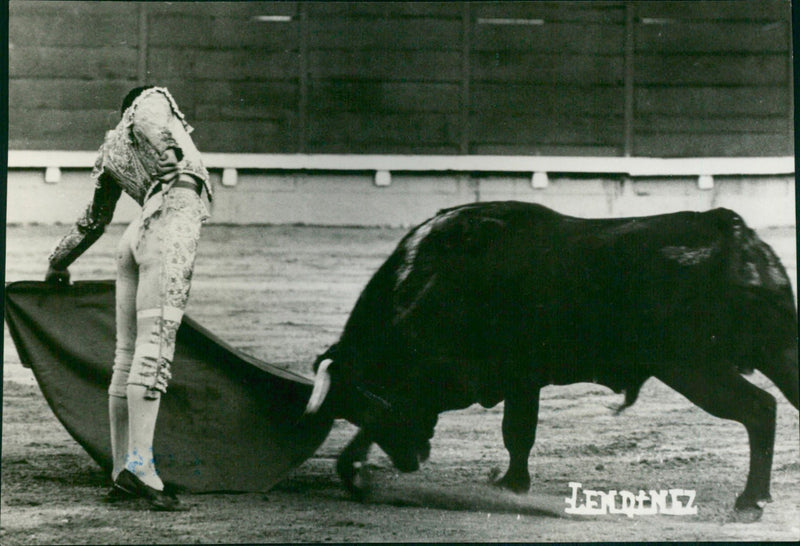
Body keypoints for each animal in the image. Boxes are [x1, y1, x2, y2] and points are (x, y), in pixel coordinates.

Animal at [304, 200, 796, 510]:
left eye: (357, 400)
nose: (411, 461)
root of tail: (732, 233)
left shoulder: (471, 378)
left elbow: (511, 431)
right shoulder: (520, 381)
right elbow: (519, 433)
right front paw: (511, 484)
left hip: (694, 368)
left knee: (759, 409)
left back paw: (750, 501)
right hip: (778, 350)